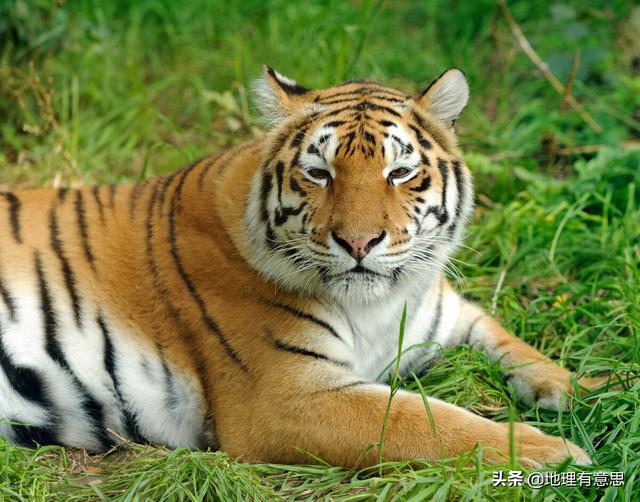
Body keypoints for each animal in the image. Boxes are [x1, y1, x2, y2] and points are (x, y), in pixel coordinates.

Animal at [0, 66, 606, 468]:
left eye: (400, 172)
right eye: (319, 173)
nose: (359, 242)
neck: (385, 303)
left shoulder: (447, 312)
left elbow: (516, 346)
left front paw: (591, 389)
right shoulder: (287, 397)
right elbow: (425, 422)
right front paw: (553, 451)